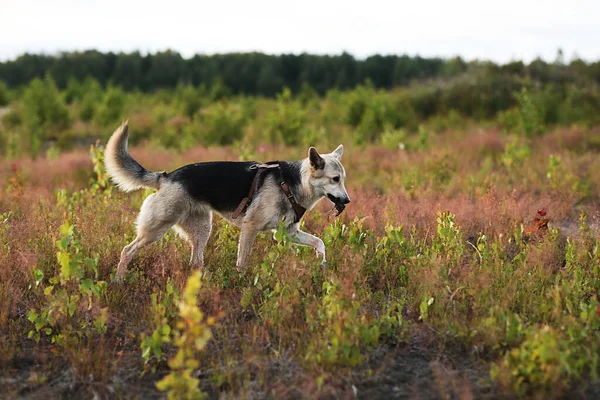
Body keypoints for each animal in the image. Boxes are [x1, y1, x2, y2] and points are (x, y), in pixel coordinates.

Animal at [105, 122, 350, 282]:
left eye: (343, 179)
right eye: (334, 179)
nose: (347, 200)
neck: (292, 183)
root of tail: (166, 176)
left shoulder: (289, 233)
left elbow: (320, 243)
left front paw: (322, 264)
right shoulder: (250, 228)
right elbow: (243, 262)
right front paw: (241, 285)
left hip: (202, 230)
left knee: (196, 261)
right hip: (157, 229)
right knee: (127, 250)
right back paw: (118, 280)